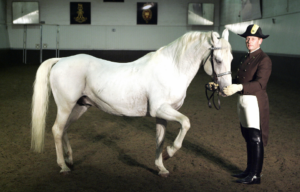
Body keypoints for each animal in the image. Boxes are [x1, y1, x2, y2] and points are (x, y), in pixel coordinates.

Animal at [32, 28, 233, 177]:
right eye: (218, 60)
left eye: (231, 58)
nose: (225, 89)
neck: (171, 69)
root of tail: (61, 60)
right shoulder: (161, 109)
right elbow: (186, 123)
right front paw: (169, 152)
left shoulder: (162, 115)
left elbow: (160, 139)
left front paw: (161, 167)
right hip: (65, 106)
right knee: (57, 130)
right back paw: (63, 166)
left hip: (79, 107)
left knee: (64, 129)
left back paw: (70, 159)